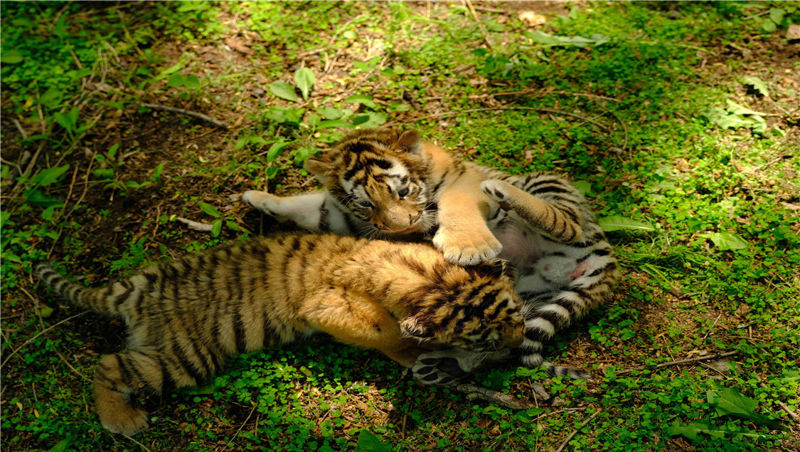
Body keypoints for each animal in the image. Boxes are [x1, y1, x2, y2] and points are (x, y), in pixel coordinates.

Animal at [36, 233, 524, 435]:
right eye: (485, 341)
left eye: (518, 316)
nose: (518, 347)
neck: (430, 279)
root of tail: (134, 290)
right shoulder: (326, 307)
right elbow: (384, 332)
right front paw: (413, 352)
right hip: (185, 354)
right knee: (109, 363)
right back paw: (121, 421)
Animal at [242, 128, 618, 382]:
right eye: (365, 203)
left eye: (403, 190)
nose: (401, 229)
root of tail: (605, 260)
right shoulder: (340, 215)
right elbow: (309, 206)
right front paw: (257, 197)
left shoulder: (461, 181)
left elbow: (456, 204)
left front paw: (468, 247)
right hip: (528, 296)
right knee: (506, 344)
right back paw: (442, 364)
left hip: (548, 184)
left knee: (566, 224)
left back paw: (502, 191)